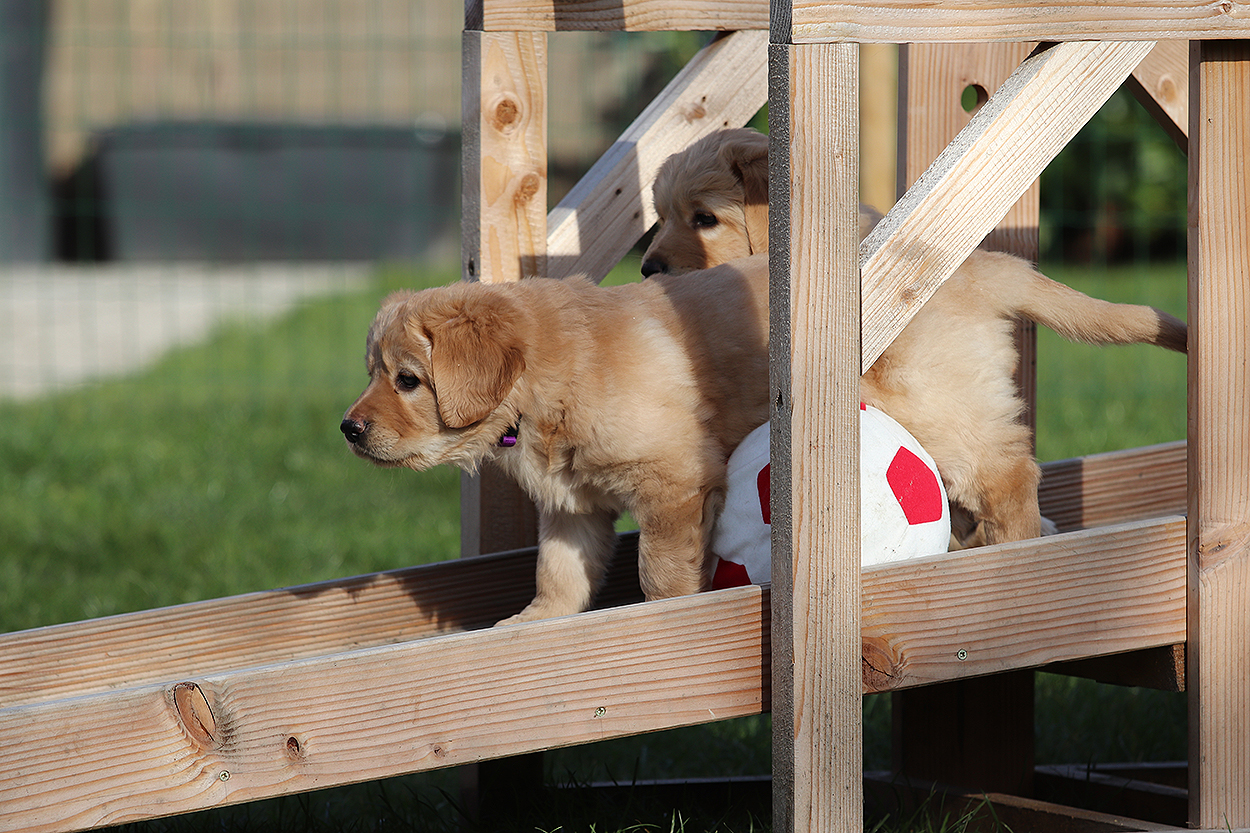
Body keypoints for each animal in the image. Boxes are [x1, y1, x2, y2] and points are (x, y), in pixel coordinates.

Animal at [341, 256, 770, 625]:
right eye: (371, 374)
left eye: (407, 380)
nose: (348, 429)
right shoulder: (570, 501)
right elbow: (557, 570)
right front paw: (536, 622)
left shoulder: (674, 485)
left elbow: (662, 571)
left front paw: (668, 615)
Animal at [642, 128, 1187, 547]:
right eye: (661, 218)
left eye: (705, 219)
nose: (648, 269)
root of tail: (989, 268)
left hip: (941, 403)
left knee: (1007, 477)